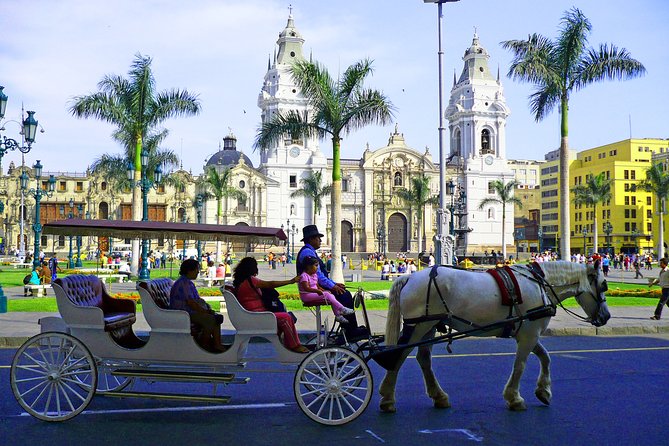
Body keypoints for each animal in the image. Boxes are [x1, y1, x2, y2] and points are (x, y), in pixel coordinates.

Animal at [378, 262, 608, 412]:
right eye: (603, 286)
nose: (606, 316)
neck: (540, 285)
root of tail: (409, 276)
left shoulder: (527, 332)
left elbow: (545, 357)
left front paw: (543, 391)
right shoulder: (529, 335)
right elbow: (520, 365)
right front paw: (514, 398)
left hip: (429, 326)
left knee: (423, 359)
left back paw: (439, 396)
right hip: (418, 325)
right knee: (398, 356)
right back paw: (388, 398)